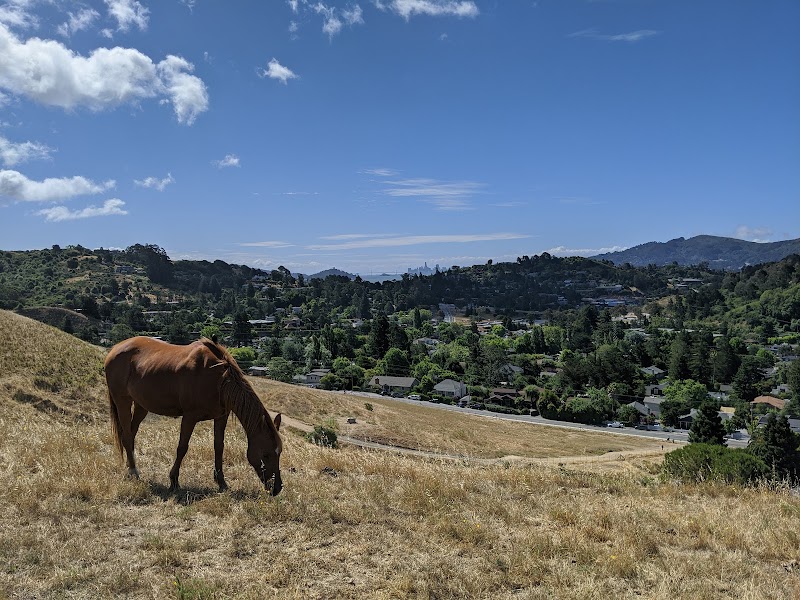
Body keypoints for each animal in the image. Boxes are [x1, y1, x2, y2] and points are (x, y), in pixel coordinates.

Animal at [104, 336, 283, 495]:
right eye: (265, 454)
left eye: (279, 452)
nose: (277, 488)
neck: (218, 379)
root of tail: (114, 349)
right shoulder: (190, 417)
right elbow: (182, 447)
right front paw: (174, 480)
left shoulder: (221, 417)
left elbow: (219, 446)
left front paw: (221, 482)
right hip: (123, 401)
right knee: (127, 436)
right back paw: (134, 472)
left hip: (141, 405)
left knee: (131, 434)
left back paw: (130, 467)